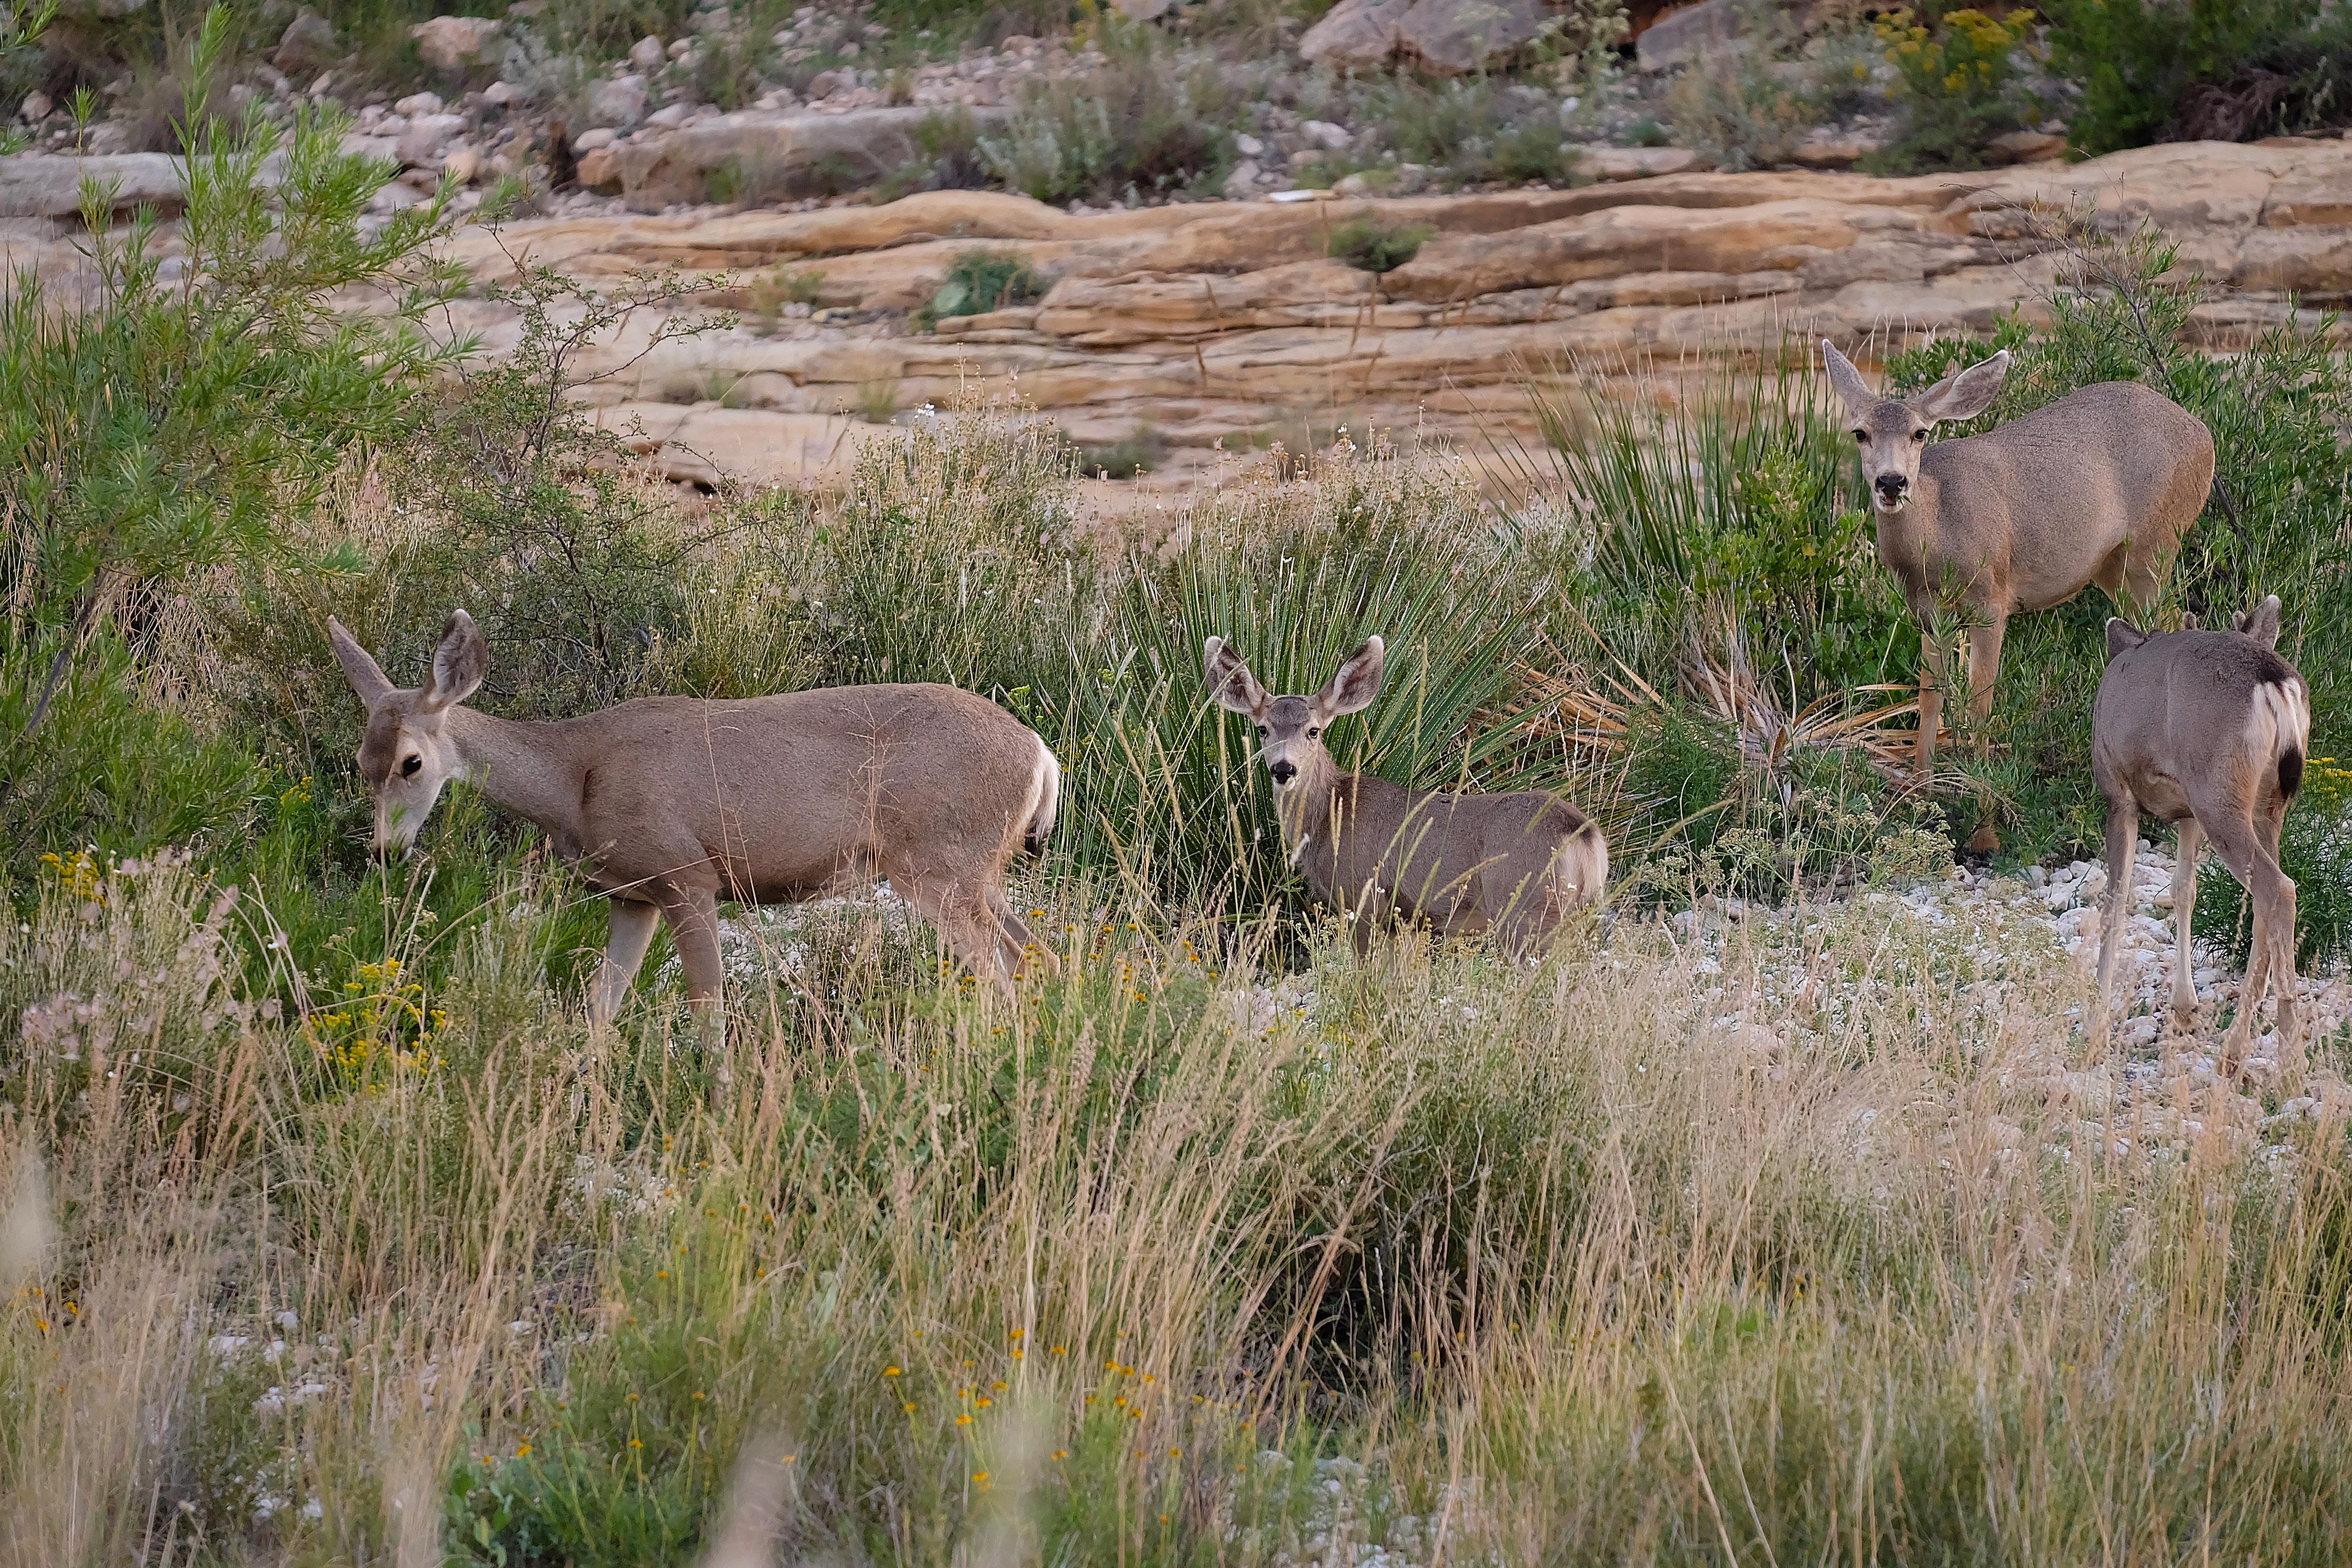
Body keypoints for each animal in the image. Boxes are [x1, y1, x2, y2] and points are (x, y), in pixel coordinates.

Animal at [328, 611, 1062, 1031]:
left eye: (412, 763)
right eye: (361, 762)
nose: (384, 851)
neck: (574, 778)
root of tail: (1041, 754)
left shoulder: (688, 876)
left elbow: (706, 1009)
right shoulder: (631, 896)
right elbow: (600, 1010)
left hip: (936, 865)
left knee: (1000, 975)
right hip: (977, 873)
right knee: (1040, 956)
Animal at [1203, 635, 1607, 956]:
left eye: (1314, 731)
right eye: (1262, 729)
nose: (1284, 769)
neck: (1329, 817)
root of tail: (1584, 834)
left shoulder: (1362, 897)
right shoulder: (1404, 922)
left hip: (1523, 906)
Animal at [1820, 341, 2216, 845]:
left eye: (1920, 433)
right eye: (1860, 433)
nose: (1891, 482)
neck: (1938, 533)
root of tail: (2204, 433)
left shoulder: (1991, 599)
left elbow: (1980, 705)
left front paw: (1985, 830)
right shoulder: (1928, 611)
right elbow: (1929, 697)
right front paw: (1922, 799)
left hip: (2156, 542)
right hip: (2113, 567)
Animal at [2089, 595, 2309, 1079]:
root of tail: (2275, 682)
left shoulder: (2118, 793)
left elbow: (2116, 900)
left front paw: (2095, 1028)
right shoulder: (2186, 809)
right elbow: (2183, 889)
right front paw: (2184, 1008)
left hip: (2217, 794)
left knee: (2279, 890)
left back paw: (2288, 1060)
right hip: (2264, 805)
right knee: (2263, 901)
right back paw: (2233, 1051)